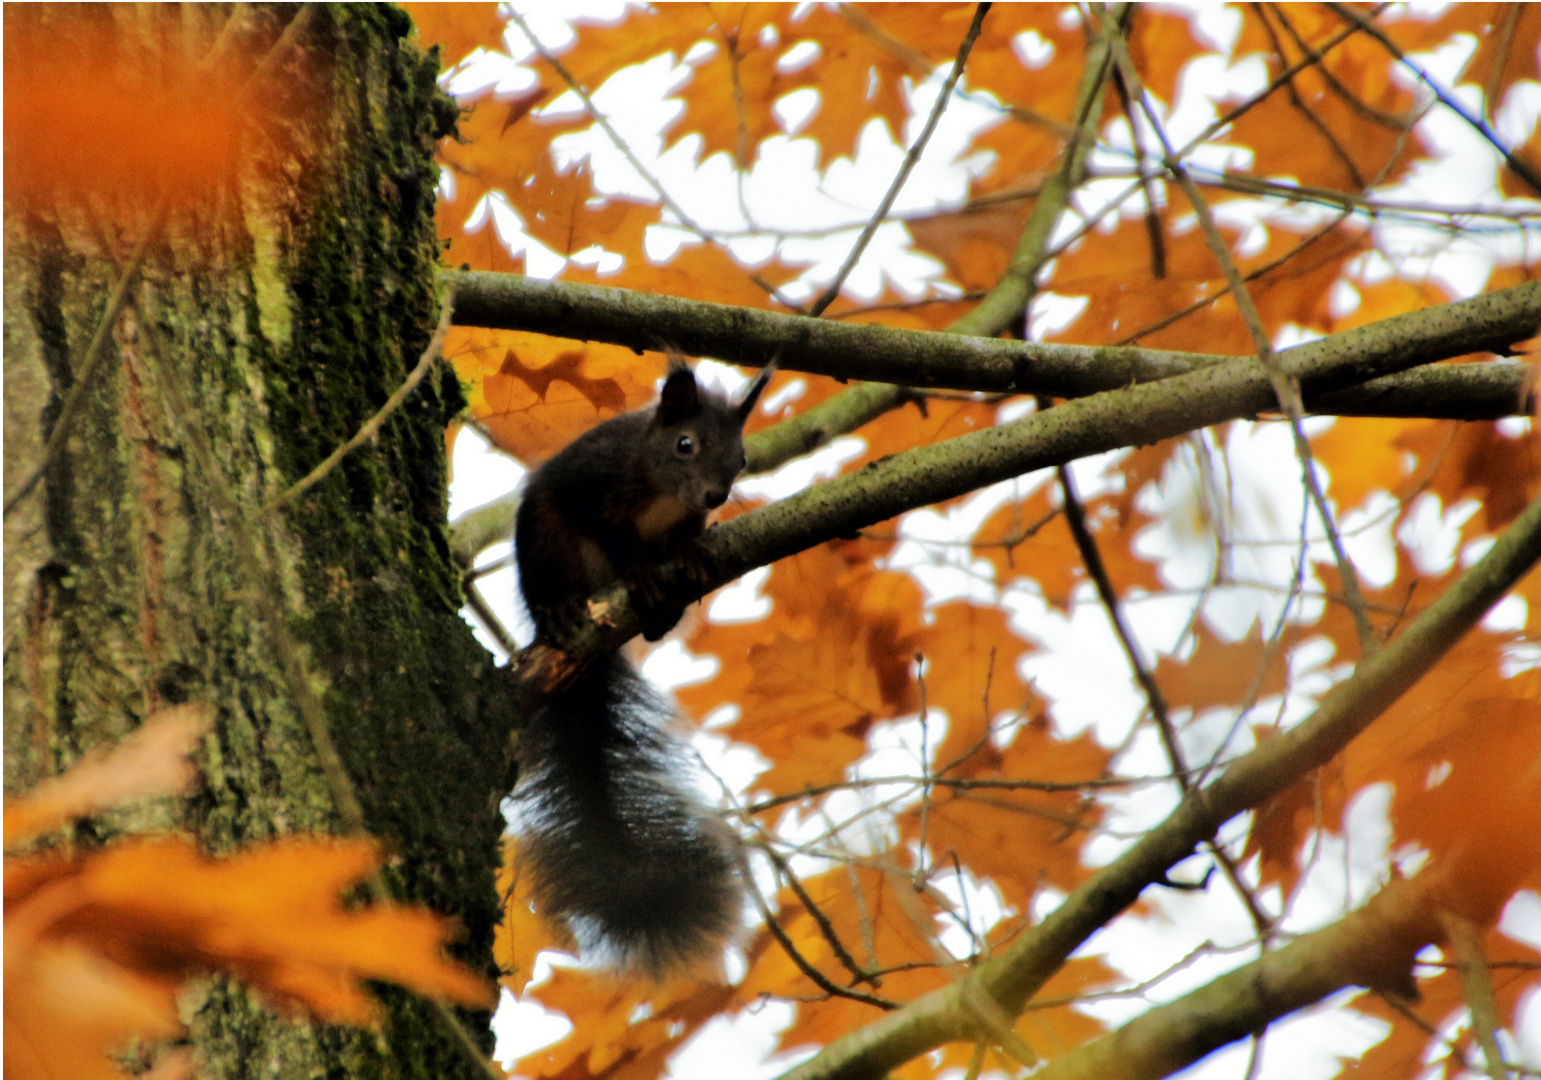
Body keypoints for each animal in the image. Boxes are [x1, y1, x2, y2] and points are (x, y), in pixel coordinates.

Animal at [511, 357, 770, 973]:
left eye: (742, 457)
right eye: (685, 444)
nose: (716, 494)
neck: (665, 495)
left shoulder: (685, 520)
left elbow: (686, 539)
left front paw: (691, 554)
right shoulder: (592, 482)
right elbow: (612, 533)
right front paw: (639, 567)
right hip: (547, 546)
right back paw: (562, 610)